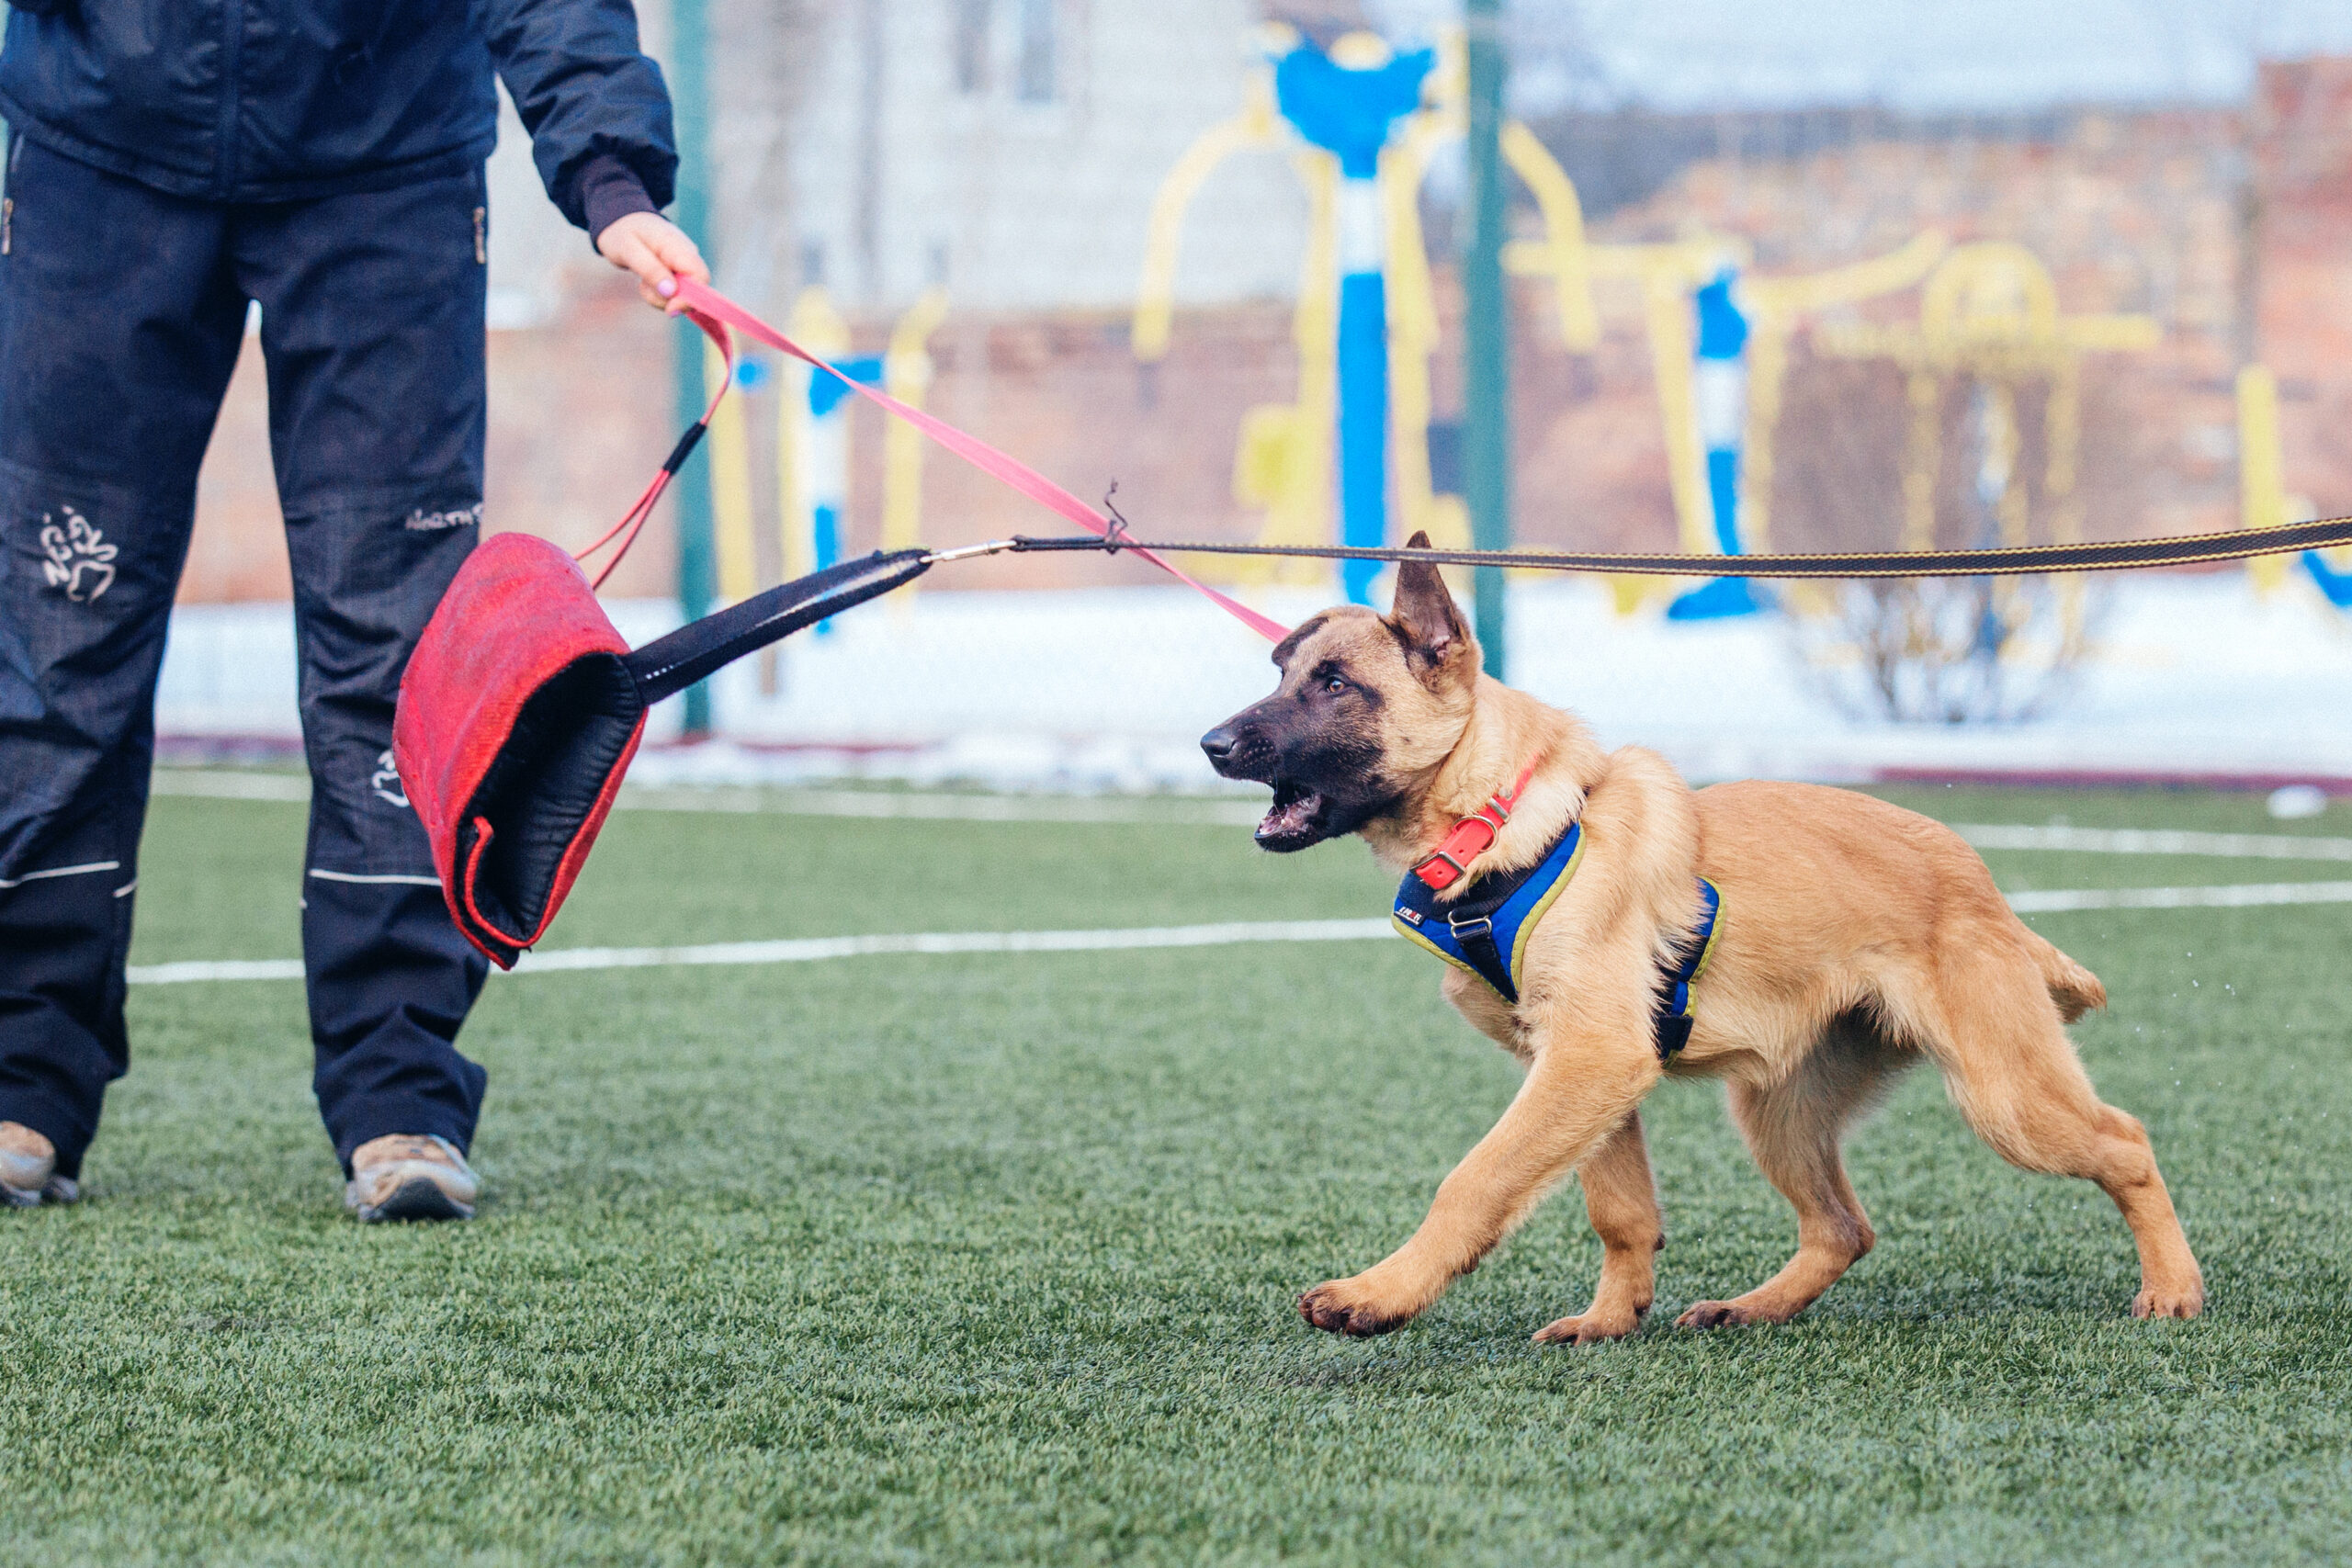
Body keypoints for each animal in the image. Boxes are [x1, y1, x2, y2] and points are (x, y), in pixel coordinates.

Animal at [1204, 540, 2191, 1335]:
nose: (1212, 742)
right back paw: (1750, 1308)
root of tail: (1981, 884)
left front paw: (1379, 1293)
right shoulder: (1581, 1069)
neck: (1503, 818)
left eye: (1334, 683)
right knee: (1843, 1226)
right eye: (1281, 673)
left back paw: (2174, 1289)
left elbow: (1476, 1180)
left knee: (2129, 1142)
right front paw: (1609, 1321)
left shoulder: (1591, 1057)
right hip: (1777, 1109)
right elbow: (1621, 1212)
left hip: (2004, 1095)